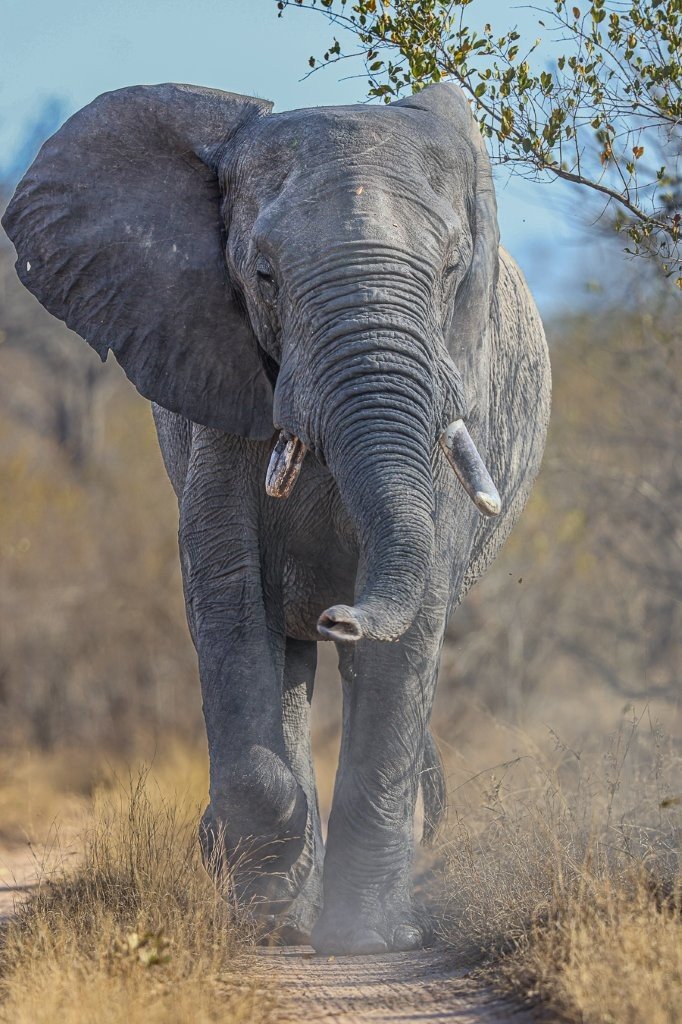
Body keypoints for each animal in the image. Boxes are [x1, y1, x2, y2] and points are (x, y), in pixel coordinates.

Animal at [2, 80, 551, 954]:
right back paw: (282, 906)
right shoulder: (215, 381)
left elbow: (412, 629)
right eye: (263, 276)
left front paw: (367, 942)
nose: (338, 615)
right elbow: (228, 595)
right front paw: (247, 871)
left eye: (451, 271)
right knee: (285, 662)